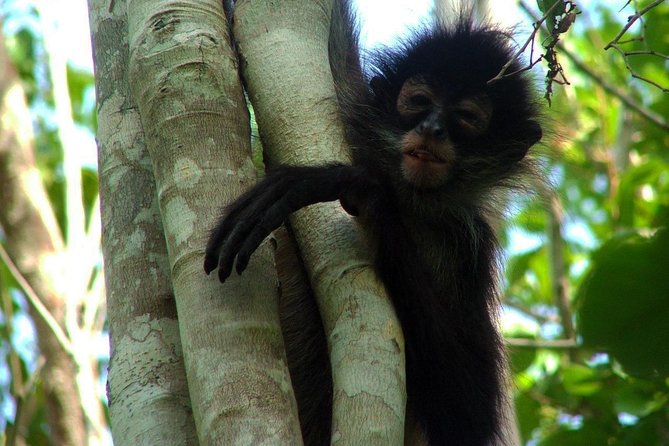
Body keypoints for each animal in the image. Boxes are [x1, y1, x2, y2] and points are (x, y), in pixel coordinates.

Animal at [205, 1, 544, 444]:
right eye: (419, 101)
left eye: (467, 117)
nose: (432, 128)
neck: (407, 197)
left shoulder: (467, 246)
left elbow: (467, 418)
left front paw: (357, 189)